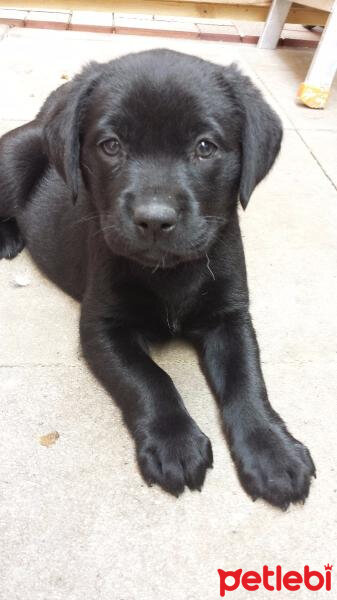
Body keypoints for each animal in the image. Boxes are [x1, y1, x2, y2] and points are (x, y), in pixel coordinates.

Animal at [0, 49, 316, 506]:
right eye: (111, 146)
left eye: (205, 147)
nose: (154, 219)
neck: (171, 273)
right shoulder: (102, 326)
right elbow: (149, 379)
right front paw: (175, 443)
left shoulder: (231, 316)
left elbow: (247, 379)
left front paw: (272, 452)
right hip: (14, 158)